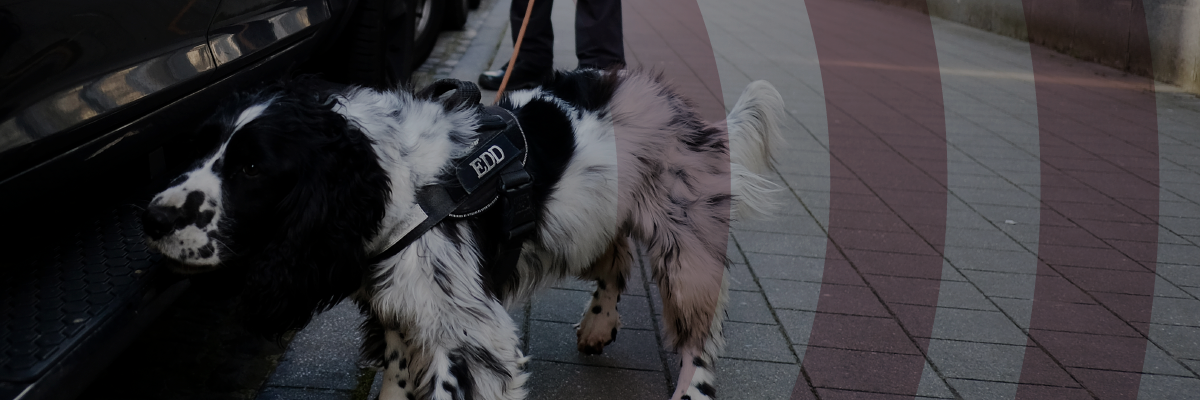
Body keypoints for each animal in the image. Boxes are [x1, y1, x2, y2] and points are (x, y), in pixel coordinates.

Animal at [142, 69, 777, 398]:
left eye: (252, 167)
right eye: (201, 146)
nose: (152, 218)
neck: (396, 183)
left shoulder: (477, 339)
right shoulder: (402, 312)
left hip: (681, 237)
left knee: (702, 331)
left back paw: (690, 385)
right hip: (586, 228)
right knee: (614, 261)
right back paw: (599, 324)